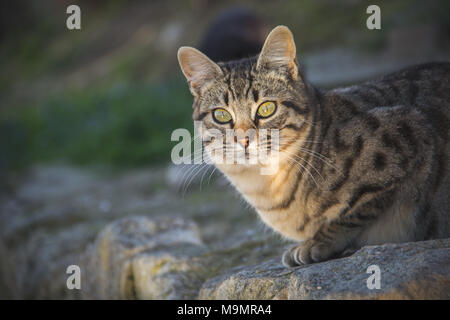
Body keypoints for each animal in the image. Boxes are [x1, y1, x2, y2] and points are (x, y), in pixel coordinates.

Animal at [178, 25, 448, 266]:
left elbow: (358, 209)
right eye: (221, 115)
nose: (243, 139)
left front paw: (318, 242)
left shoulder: (407, 133)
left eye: (266, 109)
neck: (268, 186)